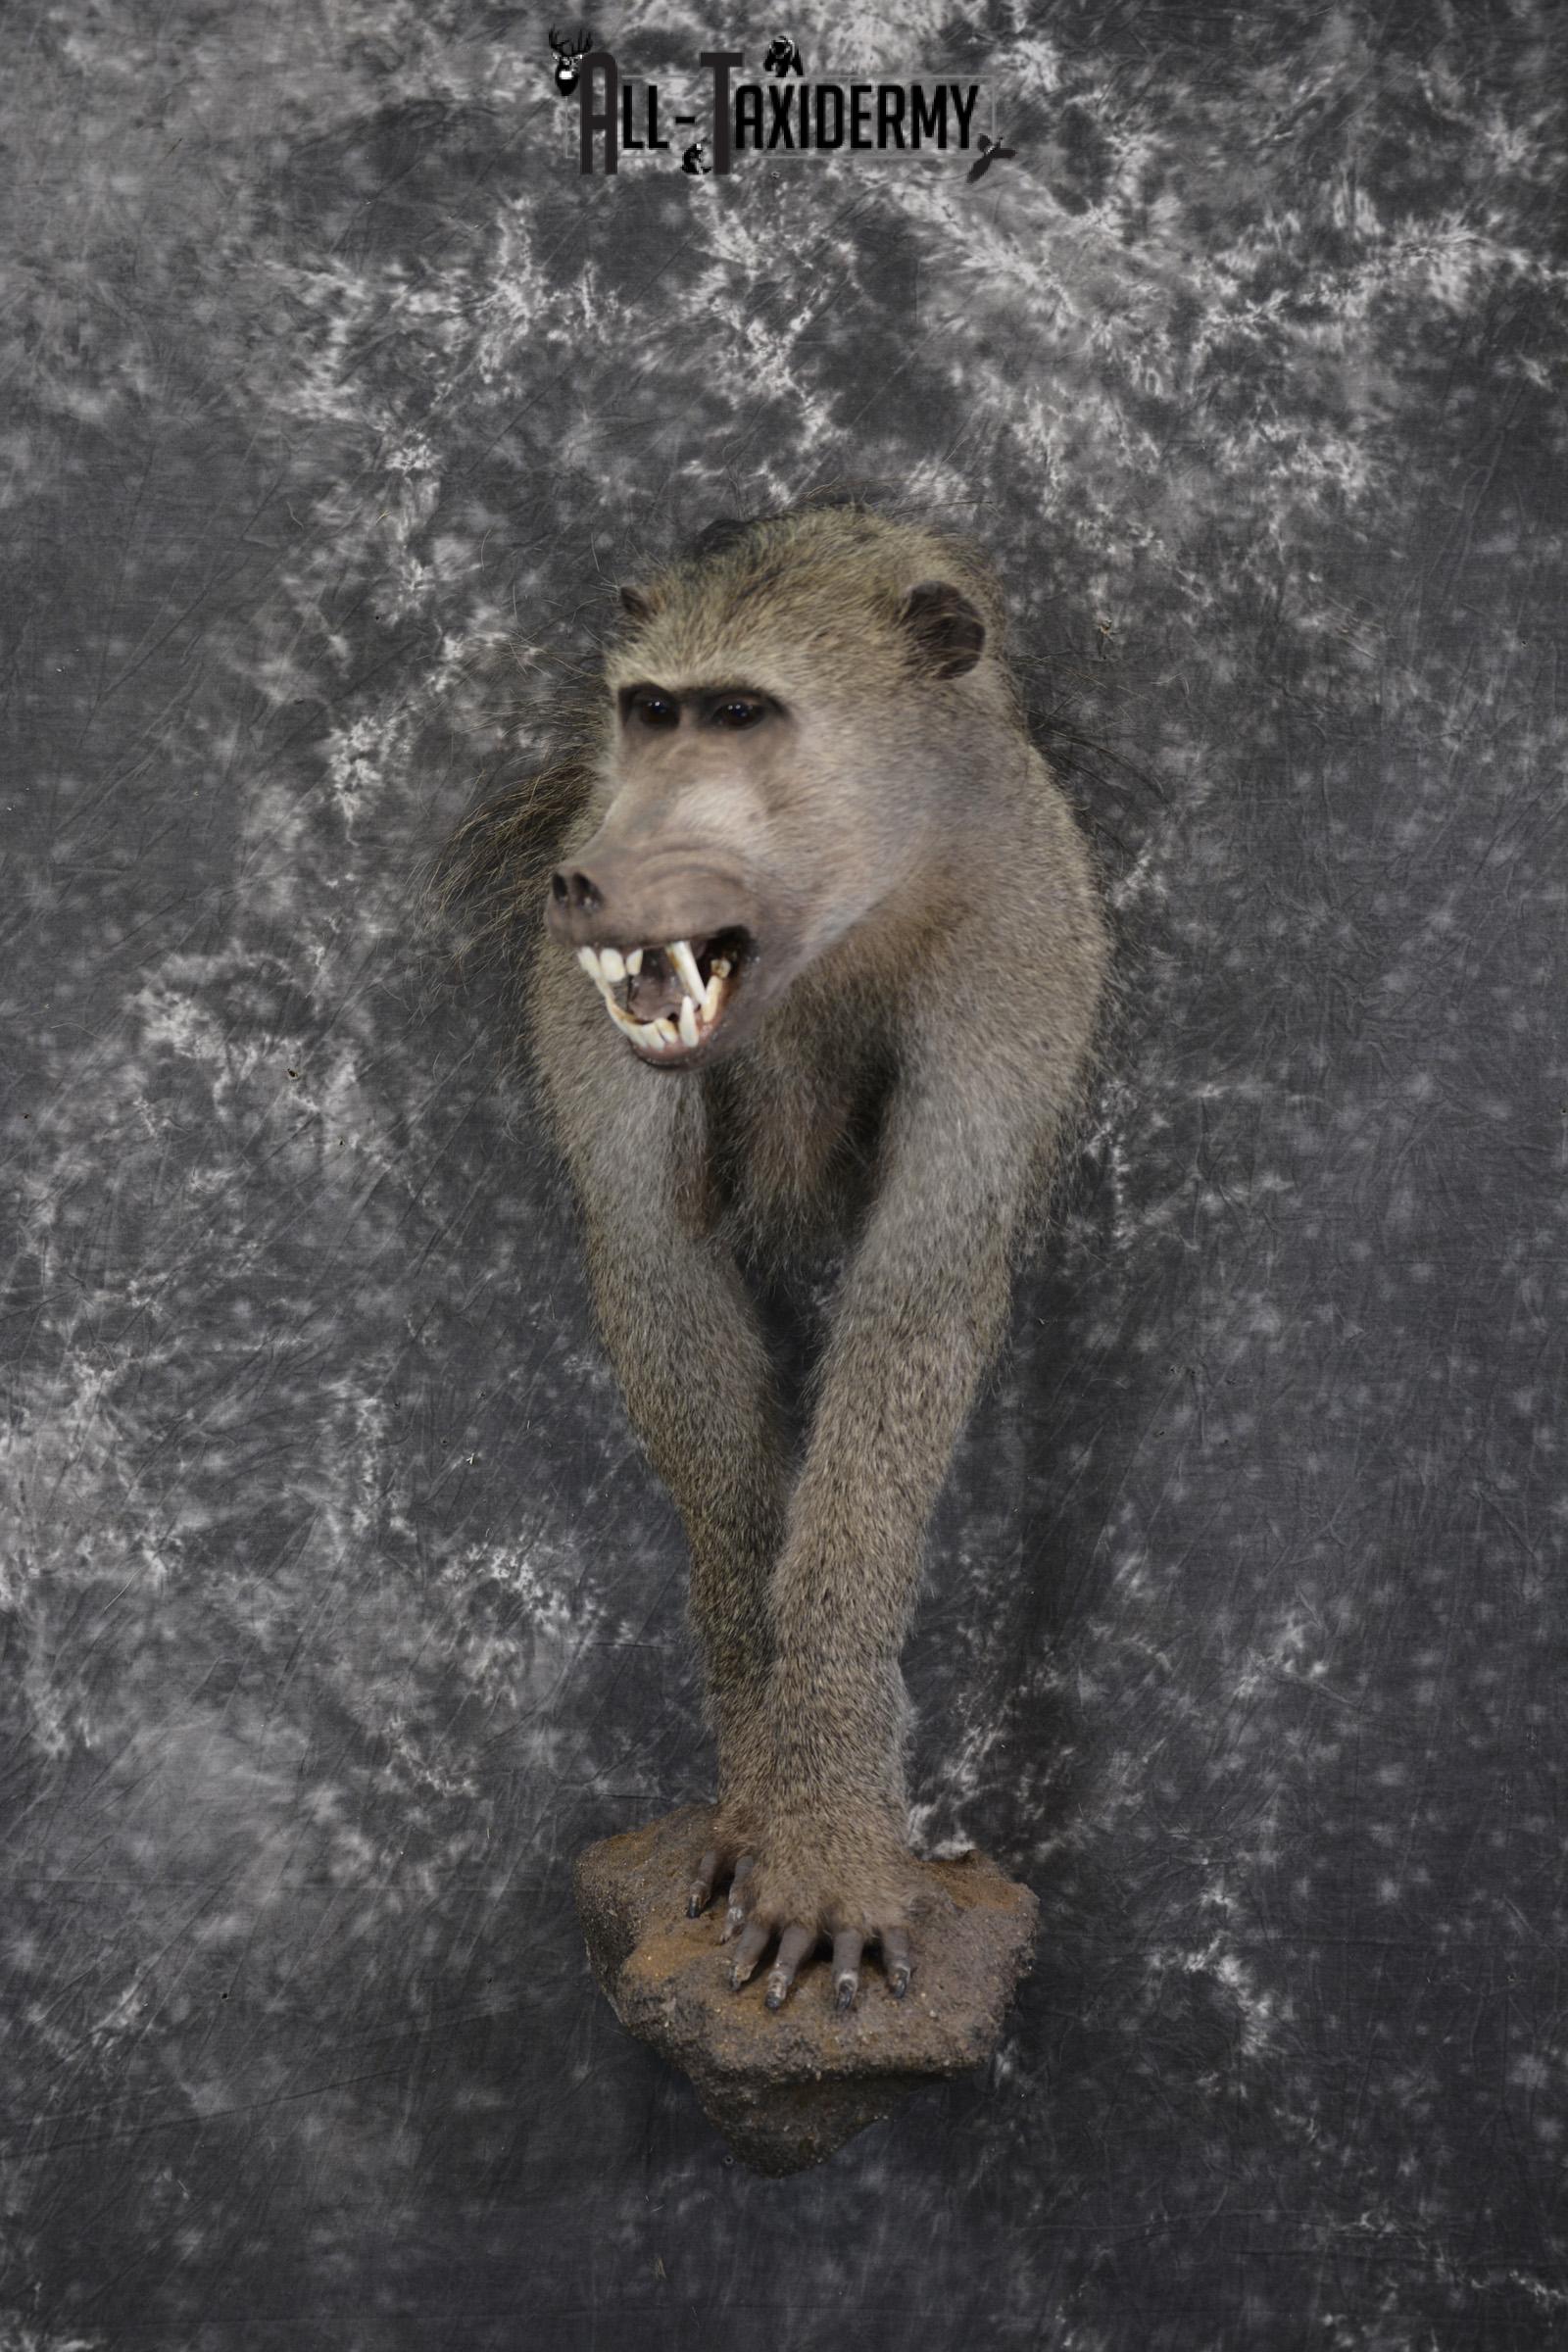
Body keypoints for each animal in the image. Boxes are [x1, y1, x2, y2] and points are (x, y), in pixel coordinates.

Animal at [436, 499, 1109, 2016]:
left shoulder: (1023, 950)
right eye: (653, 711)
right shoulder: (588, 1013)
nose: (594, 878)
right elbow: (663, 1285)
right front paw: (762, 1810)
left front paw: (829, 1839)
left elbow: (913, 1310)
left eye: (741, 714)